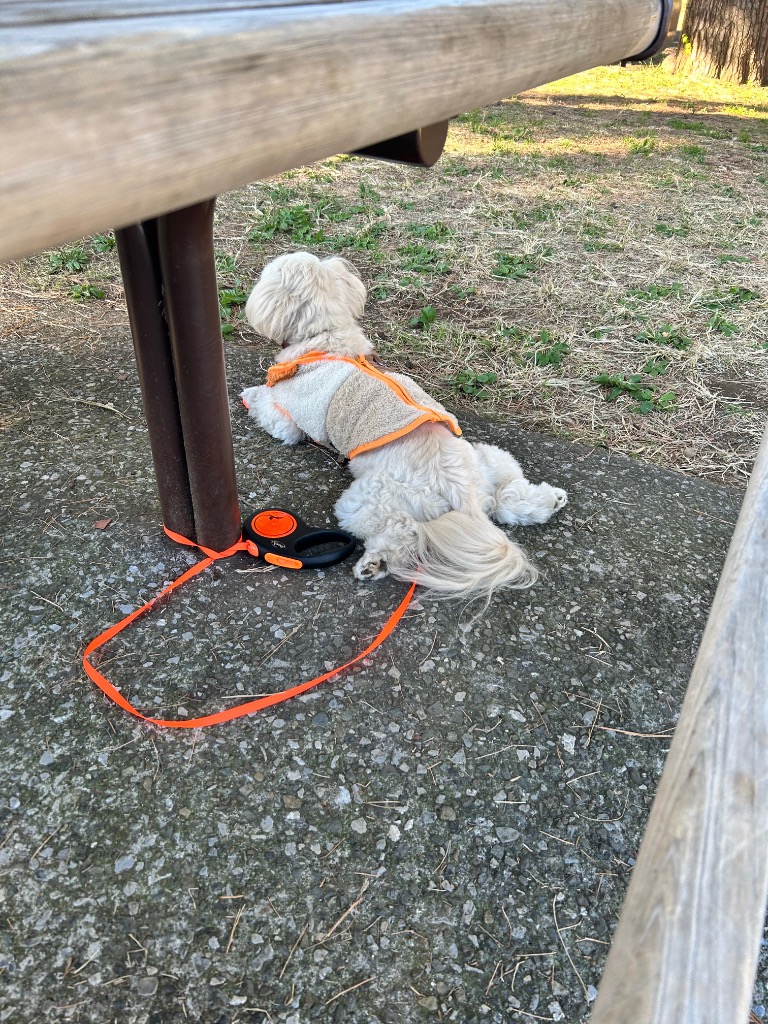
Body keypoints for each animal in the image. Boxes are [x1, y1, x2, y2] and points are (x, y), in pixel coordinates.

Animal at [241, 252, 567, 602]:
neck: (326, 336)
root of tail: (463, 493)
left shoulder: (291, 415)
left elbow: (269, 408)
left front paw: (248, 395)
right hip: (488, 459)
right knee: (506, 498)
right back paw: (549, 500)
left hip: (371, 499)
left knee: (404, 529)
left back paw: (376, 563)